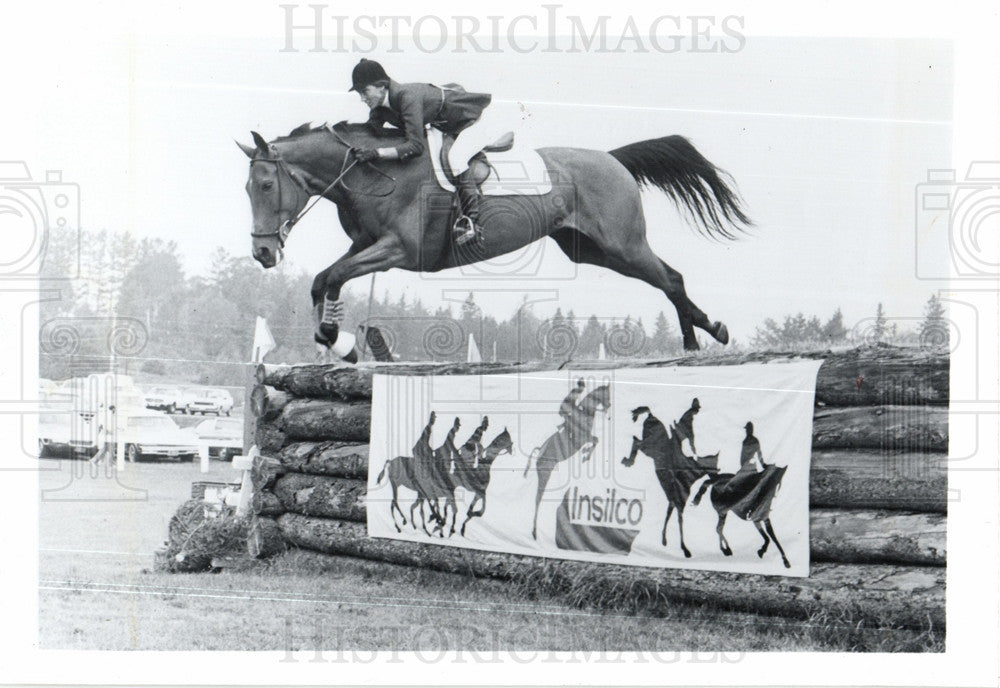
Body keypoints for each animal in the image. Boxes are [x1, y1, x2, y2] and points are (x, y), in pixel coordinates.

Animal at [524, 384, 608, 540]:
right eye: (607, 395)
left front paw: (586, 454)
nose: (608, 408)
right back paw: (534, 532)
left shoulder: (587, 437)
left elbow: (596, 440)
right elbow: (595, 440)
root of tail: (540, 451)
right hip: (545, 474)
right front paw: (586, 455)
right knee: (538, 499)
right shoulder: (585, 437)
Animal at [616, 406, 720, 556]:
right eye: (715, 468)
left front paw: (664, 540)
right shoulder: (679, 505)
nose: (719, 479)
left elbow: (667, 517)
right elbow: (679, 522)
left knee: (637, 439)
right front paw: (685, 549)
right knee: (636, 441)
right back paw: (629, 461)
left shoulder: (672, 502)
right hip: (649, 447)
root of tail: (652, 416)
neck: (688, 475)